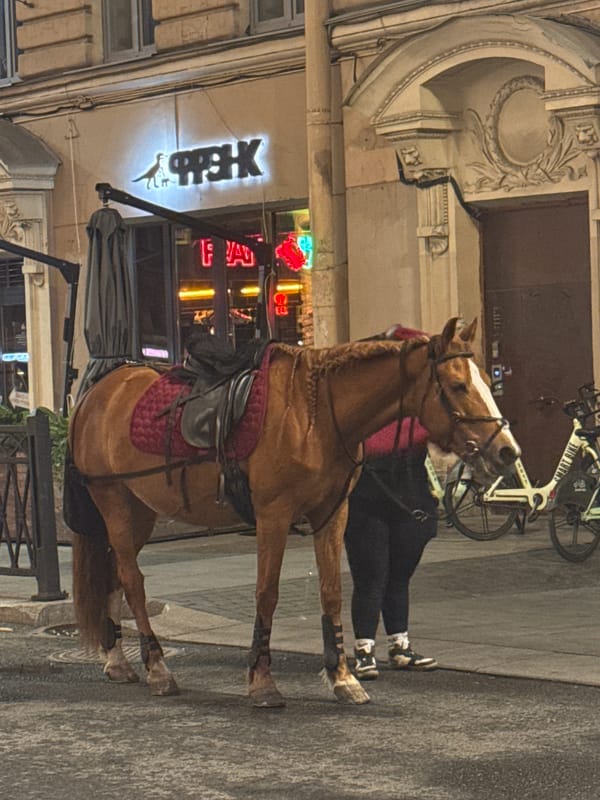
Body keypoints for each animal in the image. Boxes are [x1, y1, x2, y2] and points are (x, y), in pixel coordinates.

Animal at [69, 316, 520, 707]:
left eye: (484, 381)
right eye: (458, 385)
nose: (507, 450)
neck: (316, 415)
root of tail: (98, 391)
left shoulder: (332, 514)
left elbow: (332, 591)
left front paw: (342, 676)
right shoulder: (274, 515)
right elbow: (267, 594)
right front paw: (262, 680)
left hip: (140, 511)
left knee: (115, 576)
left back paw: (118, 660)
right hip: (113, 502)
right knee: (132, 581)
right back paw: (157, 668)